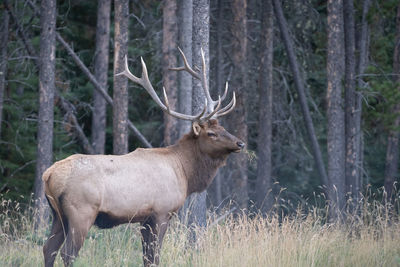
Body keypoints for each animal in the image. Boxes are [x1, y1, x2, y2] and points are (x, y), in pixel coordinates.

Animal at [43, 48, 244, 267]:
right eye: (211, 133)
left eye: (223, 128)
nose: (240, 143)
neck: (184, 171)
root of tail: (48, 174)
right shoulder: (161, 213)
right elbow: (154, 256)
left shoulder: (145, 219)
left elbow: (146, 256)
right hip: (81, 211)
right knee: (68, 253)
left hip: (57, 214)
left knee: (48, 249)